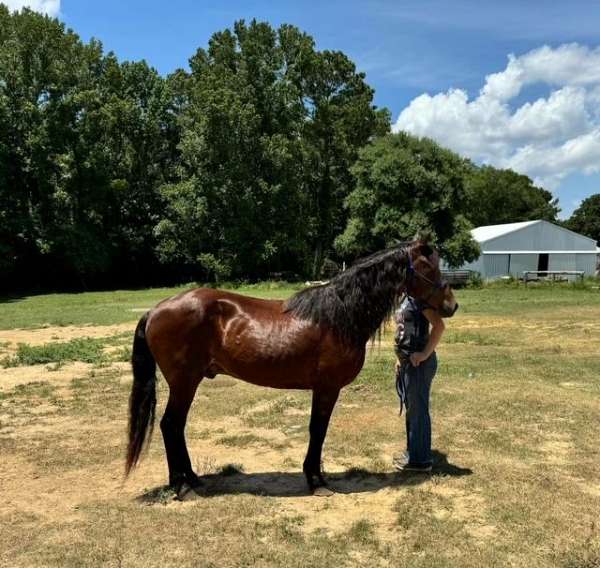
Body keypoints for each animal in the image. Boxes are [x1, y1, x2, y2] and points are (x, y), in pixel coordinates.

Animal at [124, 240, 458, 496]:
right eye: (429, 267)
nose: (451, 305)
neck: (340, 316)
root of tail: (155, 310)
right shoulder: (326, 388)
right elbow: (317, 430)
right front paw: (317, 481)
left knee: (174, 426)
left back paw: (190, 480)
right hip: (184, 382)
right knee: (170, 425)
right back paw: (182, 486)